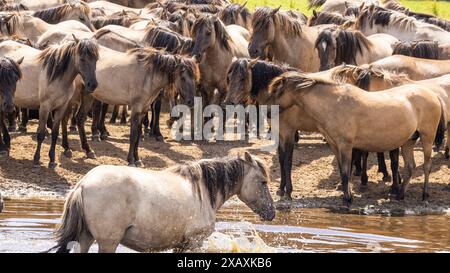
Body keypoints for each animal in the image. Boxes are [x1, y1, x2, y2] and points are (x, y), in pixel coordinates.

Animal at [47, 153, 276, 253]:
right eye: (263, 181)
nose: (272, 213)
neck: (203, 190)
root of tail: (83, 184)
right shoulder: (194, 242)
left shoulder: (182, 245)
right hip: (108, 242)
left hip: (85, 238)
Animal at [268, 71, 444, 203]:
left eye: (278, 91)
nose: (270, 112)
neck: (334, 103)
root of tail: (433, 95)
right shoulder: (334, 145)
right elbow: (341, 170)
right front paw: (346, 193)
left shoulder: (345, 145)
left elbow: (347, 171)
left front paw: (348, 198)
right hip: (409, 141)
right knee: (410, 167)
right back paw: (400, 195)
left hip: (427, 137)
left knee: (427, 166)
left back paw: (424, 194)